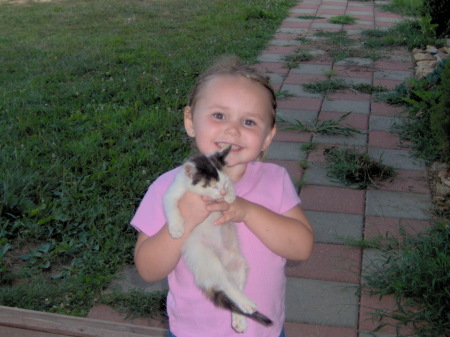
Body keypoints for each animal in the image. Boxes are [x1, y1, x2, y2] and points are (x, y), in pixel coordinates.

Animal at [163, 146, 272, 330]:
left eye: (224, 184)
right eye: (212, 186)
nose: (222, 191)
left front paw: (230, 195)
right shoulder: (172, 193)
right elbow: (171, 206)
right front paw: (176, 228)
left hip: (238, 264)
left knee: (234, 287)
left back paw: (241, 315)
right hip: (208, 259)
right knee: (226, 284)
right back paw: (245, 305)